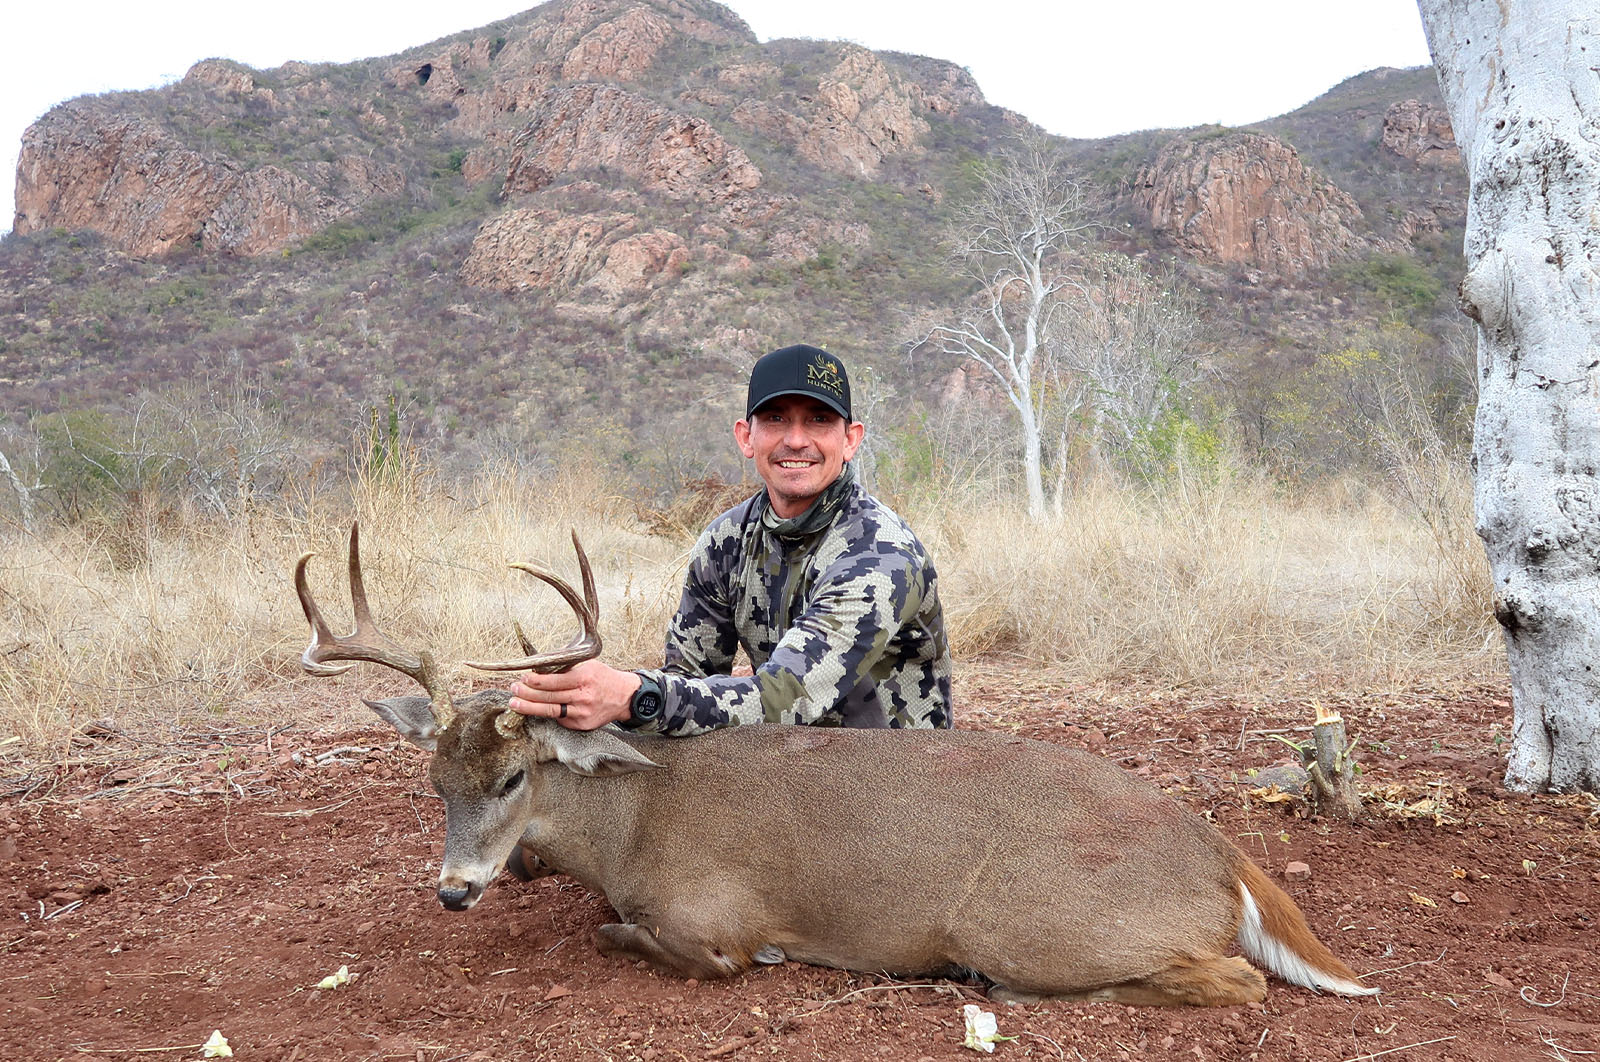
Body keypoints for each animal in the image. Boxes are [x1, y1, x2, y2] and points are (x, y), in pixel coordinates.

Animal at [297, 527, 1376, 1010]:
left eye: (514, 779)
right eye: (435, 784)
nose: (453, 890)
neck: (632, 822)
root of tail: (1225, 858)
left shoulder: (713, 920)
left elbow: (639, 939)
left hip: (1028, 921)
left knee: (1235, 982)